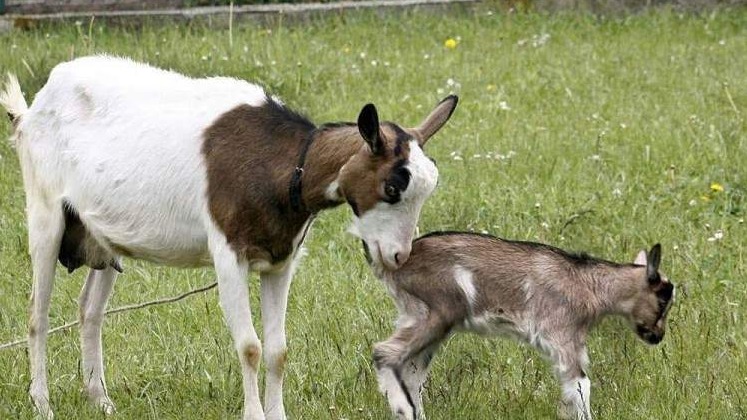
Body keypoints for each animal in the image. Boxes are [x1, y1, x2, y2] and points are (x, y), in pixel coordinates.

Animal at [0, 56, 458, 420]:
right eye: (393, 187)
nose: (398, 255)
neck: (286, 166)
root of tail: (32, 110)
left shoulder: (281, 260)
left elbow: (277, 350)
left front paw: (278, 414)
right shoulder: (228, 254)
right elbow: (250, 346)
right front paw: (254, 415)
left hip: (104, 231)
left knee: (90, 311)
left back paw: (101, 400)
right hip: (45, 210)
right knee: (37, 313)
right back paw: (42, 404)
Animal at [368, 233, 676, 420]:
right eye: (663, 301)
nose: (657, 336)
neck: (588, 284)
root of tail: (395, 264)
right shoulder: (562, 333)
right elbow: (580, 384)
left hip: (418, 316)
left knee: (411, 374)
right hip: (437, 311)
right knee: (384, 353)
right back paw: (403, 408)